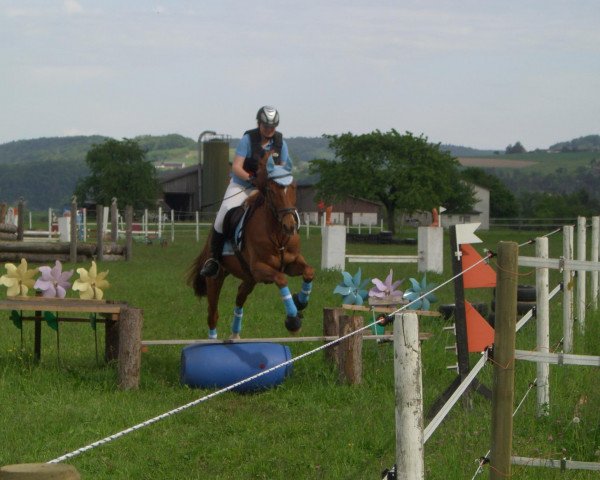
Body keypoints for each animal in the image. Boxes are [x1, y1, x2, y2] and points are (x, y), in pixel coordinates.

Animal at [189, 153, 316, 338]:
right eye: (271, 190)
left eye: (293, 187)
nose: (290, 226)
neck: (277, 234)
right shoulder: (260, 268)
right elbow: (281, 279)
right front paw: (293, 320)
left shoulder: (290, 264)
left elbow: (309, 272)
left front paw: (299, 301)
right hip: (216, 278)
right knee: (213, 315)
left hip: (249, 278)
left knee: (239, 298)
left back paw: (235, 335)